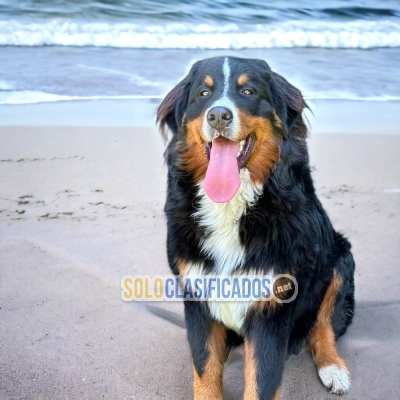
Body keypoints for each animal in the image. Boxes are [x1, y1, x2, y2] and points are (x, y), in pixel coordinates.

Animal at [156, 57, 356, 400]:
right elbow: (205, 368)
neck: (231, 205)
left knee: (323, 326)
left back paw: (334, 368)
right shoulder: (198, 293)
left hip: (340, 259)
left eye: (248, 91)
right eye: (204, 94)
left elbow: (262, 381)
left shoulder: (272, 306)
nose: (218, 116)